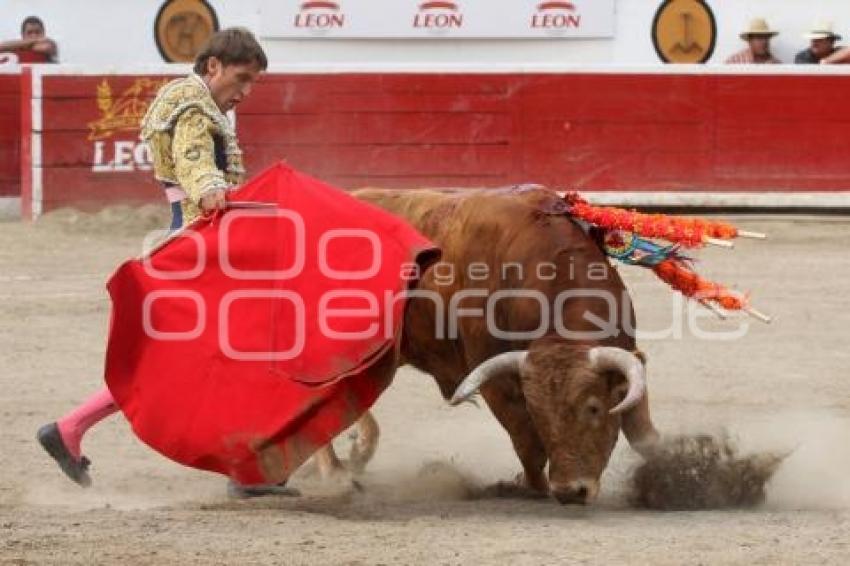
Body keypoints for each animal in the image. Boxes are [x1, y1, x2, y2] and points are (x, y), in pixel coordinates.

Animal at [314, 186, 660, 506]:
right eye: (538, 414)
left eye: (594, 408)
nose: (570, 491)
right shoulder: (496, 382)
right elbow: (528, 445)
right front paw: (526, 485)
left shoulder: (630, 358)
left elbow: (643, 434)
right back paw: (337, 475)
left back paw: (358, 453)